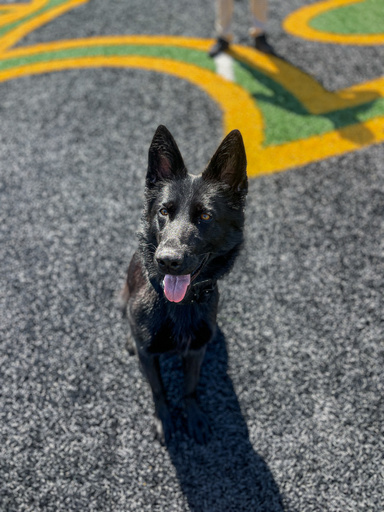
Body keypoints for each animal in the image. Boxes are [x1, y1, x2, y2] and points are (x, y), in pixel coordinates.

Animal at [123, 125, 249, 444]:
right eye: (164, 212)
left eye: (205, 216)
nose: (167, 260)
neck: (178, 307)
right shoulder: (148, 355)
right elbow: (158, 390)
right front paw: (164, 420)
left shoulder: (195, 351)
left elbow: (190, 387)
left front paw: (193, 416)